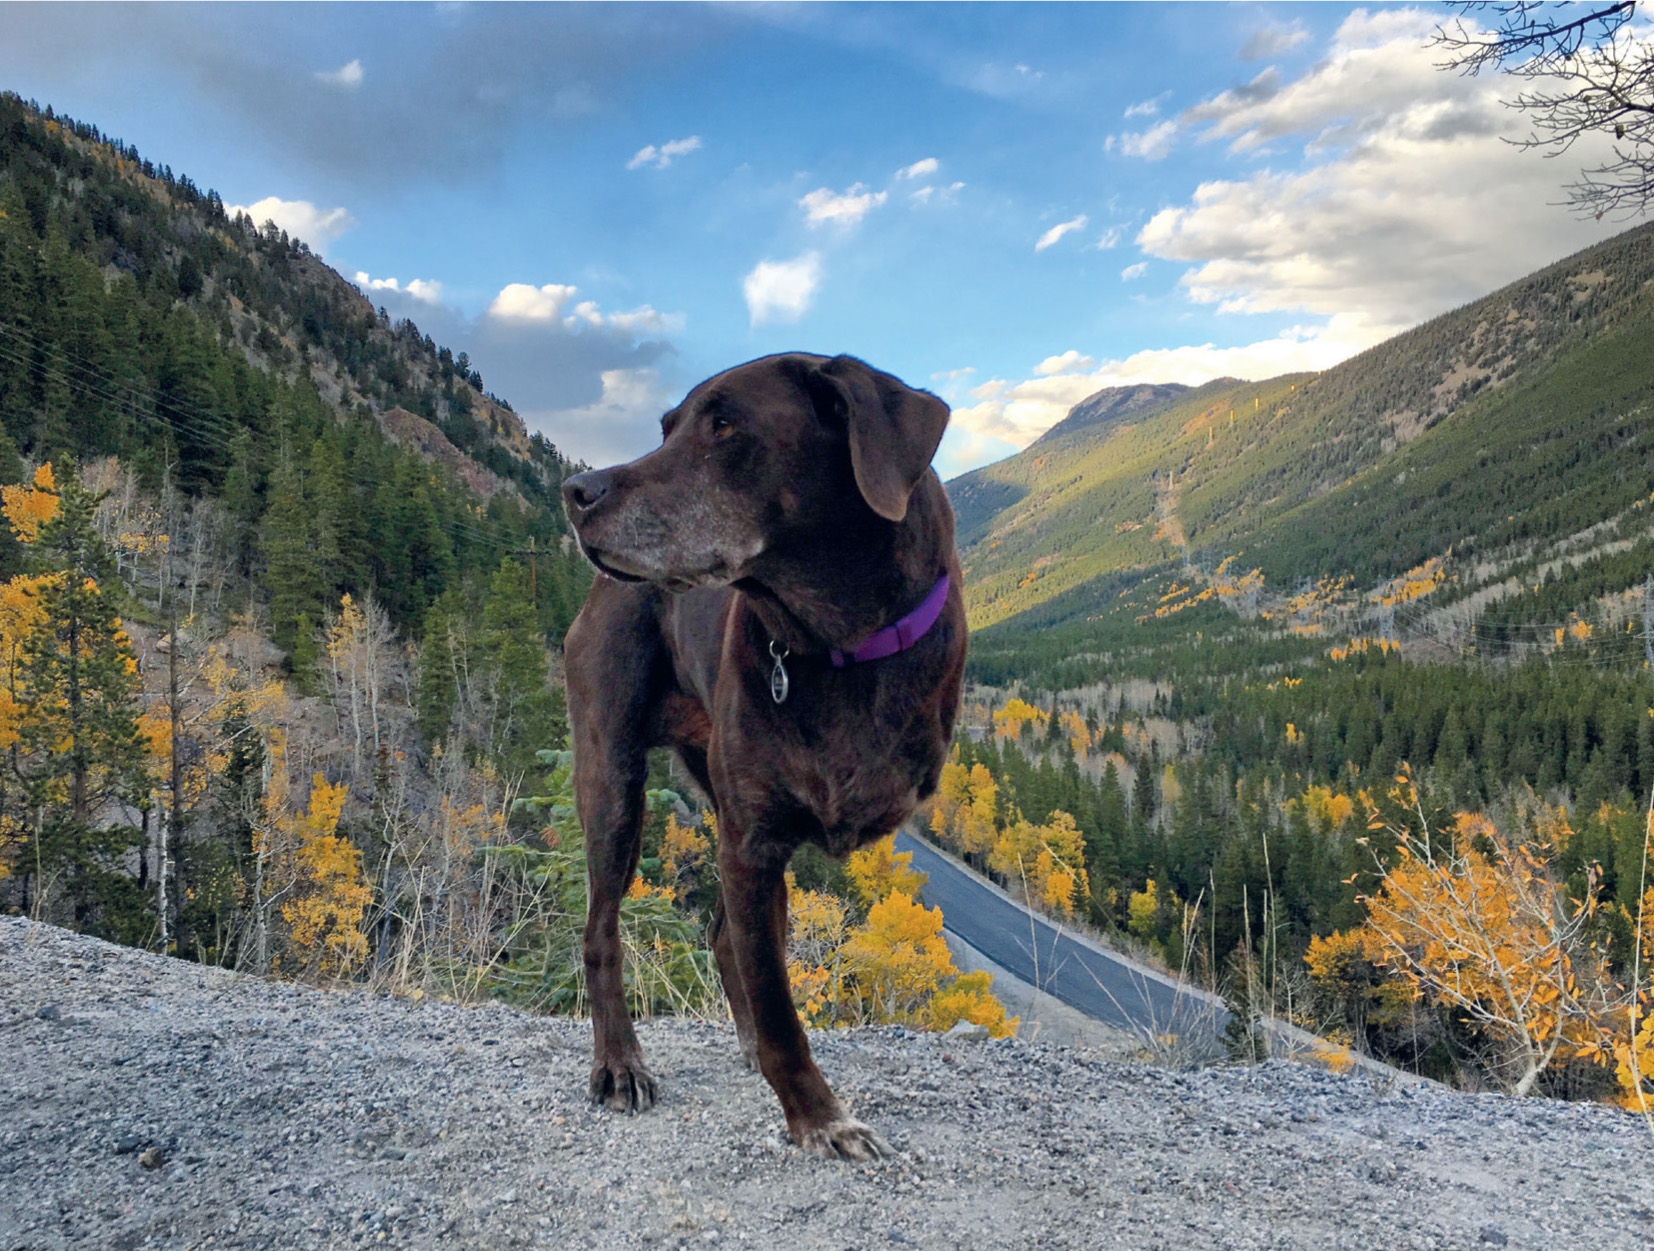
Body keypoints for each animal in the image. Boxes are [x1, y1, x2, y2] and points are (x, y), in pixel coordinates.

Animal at [562, 352, 965, 1164]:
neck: (837, 643)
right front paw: (820, 1117)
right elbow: (781, 1007)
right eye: (666, 428)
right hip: (613, 780)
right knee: (600, 930)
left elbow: (762, 967)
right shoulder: (752, 843)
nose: (577, 492)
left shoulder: (763, 841)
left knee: (725, 937)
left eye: (724, 425)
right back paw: (619, 1062)